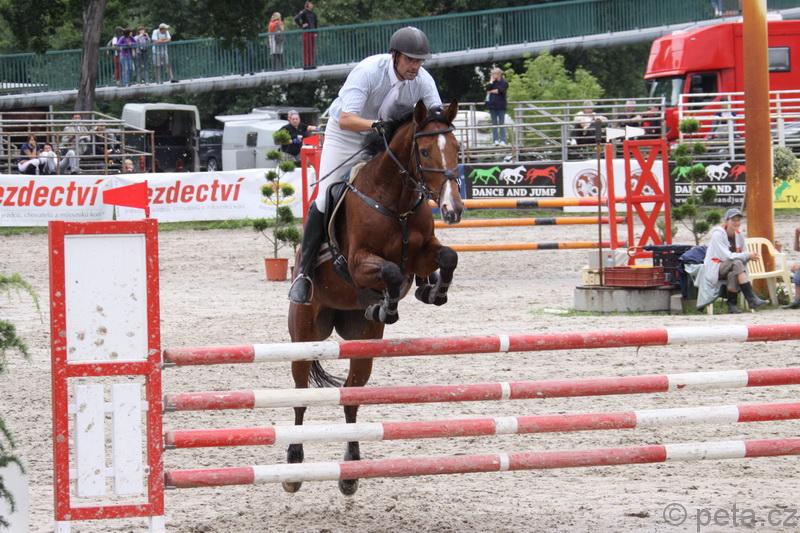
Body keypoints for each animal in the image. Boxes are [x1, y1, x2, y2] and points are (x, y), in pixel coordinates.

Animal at [286, 100, 463, 496]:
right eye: (424, 151)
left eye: (457, 148)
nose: (453, 209)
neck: (395, 200)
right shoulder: (357, 263)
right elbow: (392, 273)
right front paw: (387, 305)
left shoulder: (422, 255)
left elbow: (448, 257)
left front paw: (434, 291)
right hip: (303, 335)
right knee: (300, 392)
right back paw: (292, 464)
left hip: (361, 342)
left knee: (351, 396)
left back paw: (350, 471)